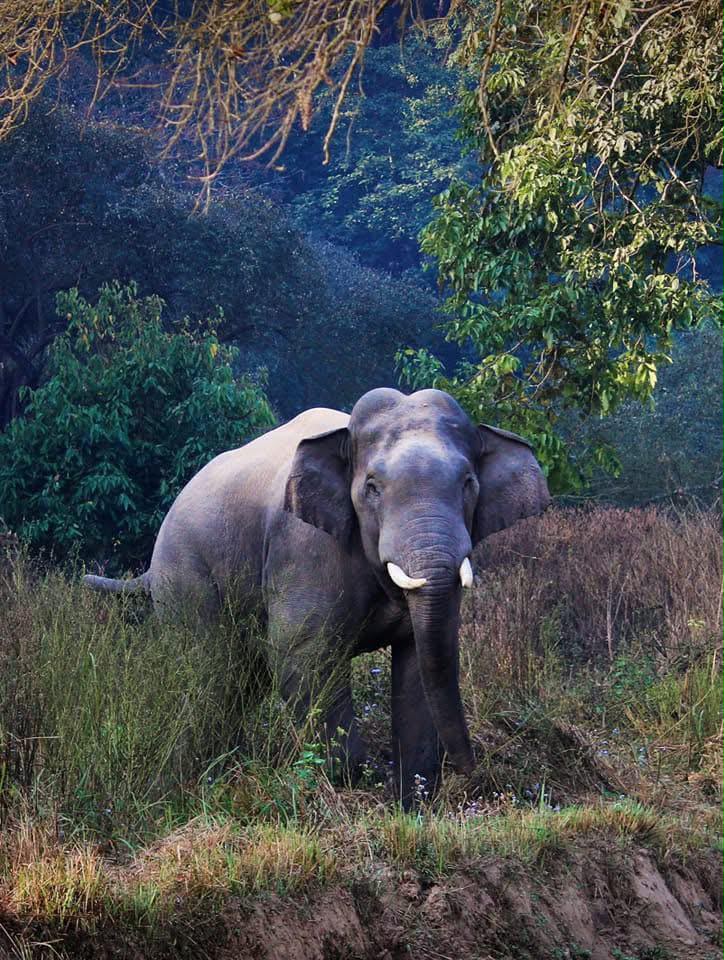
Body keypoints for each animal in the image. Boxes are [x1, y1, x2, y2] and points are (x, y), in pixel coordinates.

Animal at [84, 388, 550, 806]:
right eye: (372, 487)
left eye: (469, 483)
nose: (472, 769)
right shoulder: (304, 546)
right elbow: (304, 652)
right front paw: (351, 783)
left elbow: (420, 659)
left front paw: (411, 803)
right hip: (186, 575)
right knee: (209, 670)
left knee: (242, 678)